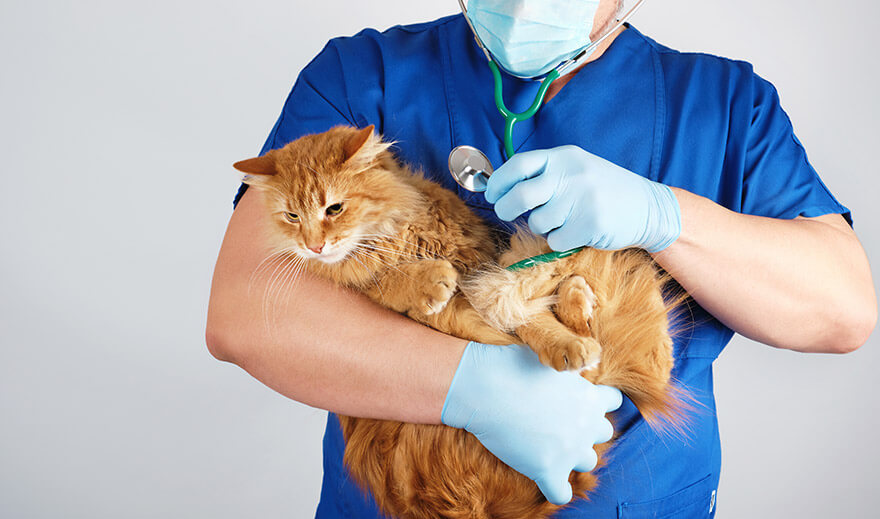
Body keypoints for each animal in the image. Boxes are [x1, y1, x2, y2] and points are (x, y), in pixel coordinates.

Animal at [237, 126, 692, 519]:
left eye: (334, 208)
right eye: (292, 216)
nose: (313, 246)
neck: (393, 237)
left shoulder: (479, 266)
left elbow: (528, 319)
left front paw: (562, 339)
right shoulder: (409, 301)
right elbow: (400, 285)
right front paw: (428, 280)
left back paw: (576, 300)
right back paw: (577, 301)